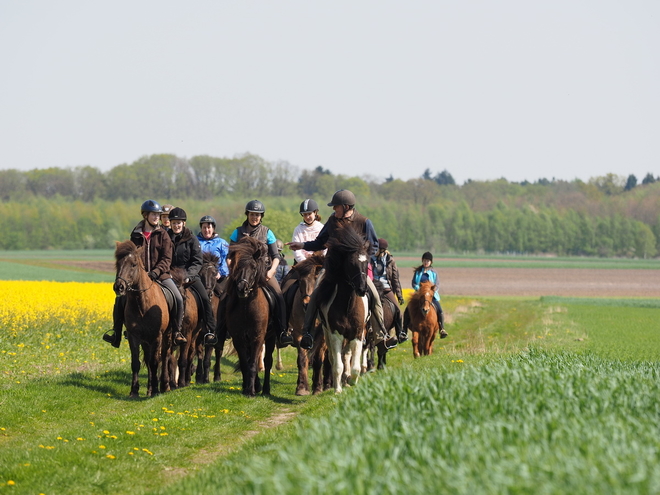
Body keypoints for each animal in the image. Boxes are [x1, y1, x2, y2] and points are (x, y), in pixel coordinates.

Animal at [114, 240, 174, 400]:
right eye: (118, 263)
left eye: (133, 264)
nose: (119, 287)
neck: (142, 303)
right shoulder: (134, 336)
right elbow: (136, 363)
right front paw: (134, 391)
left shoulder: (157, 336)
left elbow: (155, 362)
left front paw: (156, 390)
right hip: (146, 341)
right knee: (147, 359)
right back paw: (149, 388)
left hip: (167, 335)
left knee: (164, 356)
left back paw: (164, 386)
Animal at [222, 238, 274, 398]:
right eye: (237, 267)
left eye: (254, 267)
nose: (242, 289)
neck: (246, 307)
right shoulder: (239, 338)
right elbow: (245, 363)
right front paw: (248, 388)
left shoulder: (257, 337)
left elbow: (252, 364)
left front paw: (250, 391)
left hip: (271, 337)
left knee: (267, 361)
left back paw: (266, 389)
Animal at [316, 226, 372, 396]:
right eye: (351, 263)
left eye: (366, 262)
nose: (362, 289)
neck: (348, 305)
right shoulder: (335, 334)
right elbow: (337, 364)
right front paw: (337, 389)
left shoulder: (358, 334)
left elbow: (355, 367)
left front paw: (352, 380)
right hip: (327, 332)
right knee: (334, 357)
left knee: (347, 355)